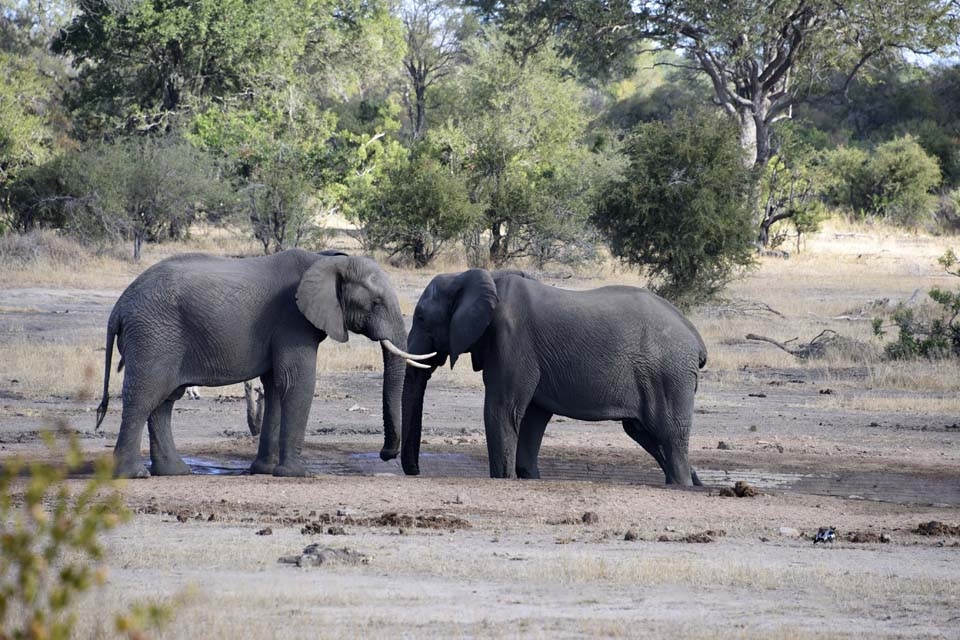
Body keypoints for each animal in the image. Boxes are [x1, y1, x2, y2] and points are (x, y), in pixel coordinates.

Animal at [94, 248, 432, 478]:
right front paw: (297, 474)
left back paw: (174, 472)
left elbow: (276, 387)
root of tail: (119, 307)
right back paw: (133, 475)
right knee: (145, 396)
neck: (326, 259)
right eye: (375, 302)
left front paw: (265, 470)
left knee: (164, 400)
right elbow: (297, 382)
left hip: (158, 337)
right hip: (153, 334)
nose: (386, 454)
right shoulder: (292, 320)